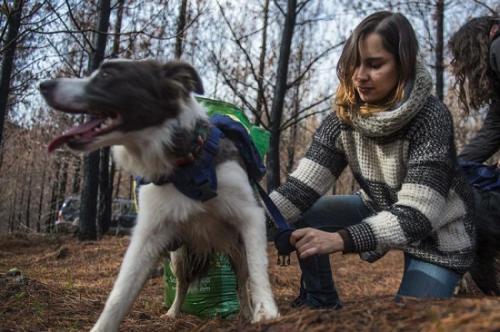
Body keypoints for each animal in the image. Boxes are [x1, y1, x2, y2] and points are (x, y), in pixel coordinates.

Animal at [38, 59, 282, 332]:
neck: (187, 165)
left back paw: (246, 313)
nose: (44, 85)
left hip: (236, 251)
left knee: (241, 282)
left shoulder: (250, 216)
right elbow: (119, 294)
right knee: (184, 284)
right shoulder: (149, 235)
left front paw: (265, 312)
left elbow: (258, 269)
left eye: (107, 74)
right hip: (179, 256)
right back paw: (173, 312)